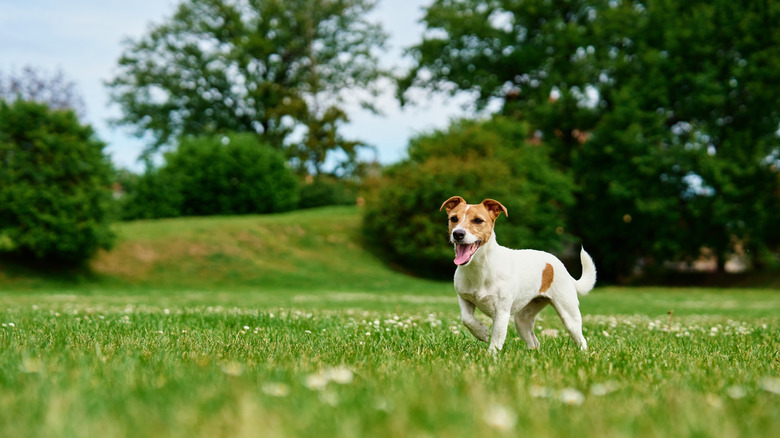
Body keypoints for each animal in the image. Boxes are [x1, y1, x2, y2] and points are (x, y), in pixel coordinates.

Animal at [438, 197, 596, 354]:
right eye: (454, 218)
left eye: (477, 220)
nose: (458, 233)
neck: (480, 269)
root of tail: (559, 264)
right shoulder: (464, 298)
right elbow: (467, 319)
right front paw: (481, 332)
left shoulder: (501, 313)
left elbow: (496, 339)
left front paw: (491, 356)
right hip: (522, 320)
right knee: (534, 342)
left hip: (568, 313)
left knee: (581, 339)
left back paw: (583, 353)